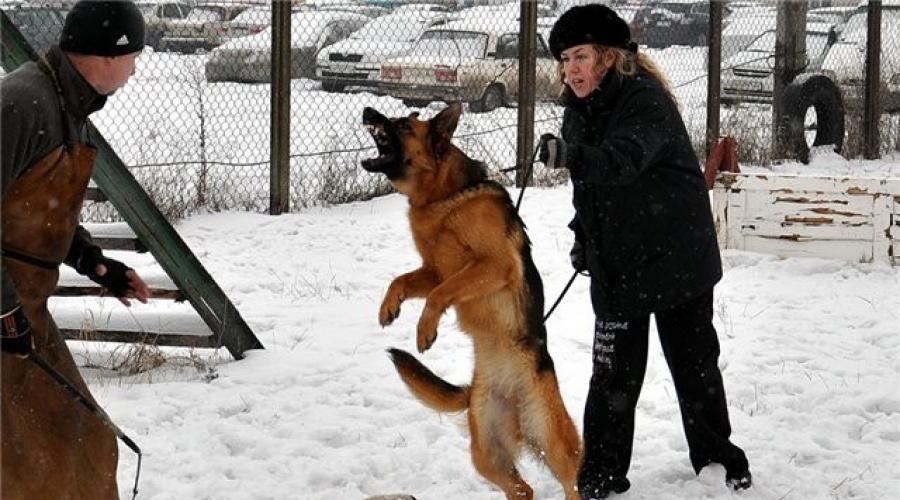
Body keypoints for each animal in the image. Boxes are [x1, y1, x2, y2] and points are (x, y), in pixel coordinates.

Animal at [360, 103, 580, 498]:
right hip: (487, 454)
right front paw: (389, 307)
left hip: (554, 441)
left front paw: (424, 330)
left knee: (571, 478)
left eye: (404, 125)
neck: (447, 196)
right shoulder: (436, 270)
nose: (368, 110)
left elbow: (438, 295)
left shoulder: (492, 264)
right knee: (522, 489)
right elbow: (402, 280)